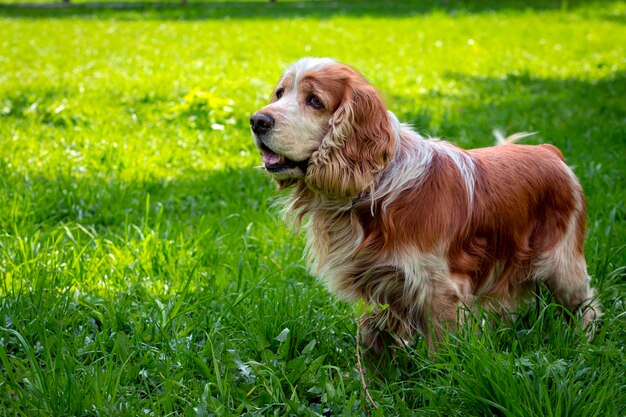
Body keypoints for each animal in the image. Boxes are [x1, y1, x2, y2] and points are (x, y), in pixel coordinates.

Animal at [249, 57, 600, 352]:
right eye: (279, 93)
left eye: (314, 101)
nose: (257, 121)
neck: (376, 186)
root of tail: (549, 152)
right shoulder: (381, 286)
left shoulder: (439, 289)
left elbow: (440, 354)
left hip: (564, 265)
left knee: (587, 306)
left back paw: (584, 343)